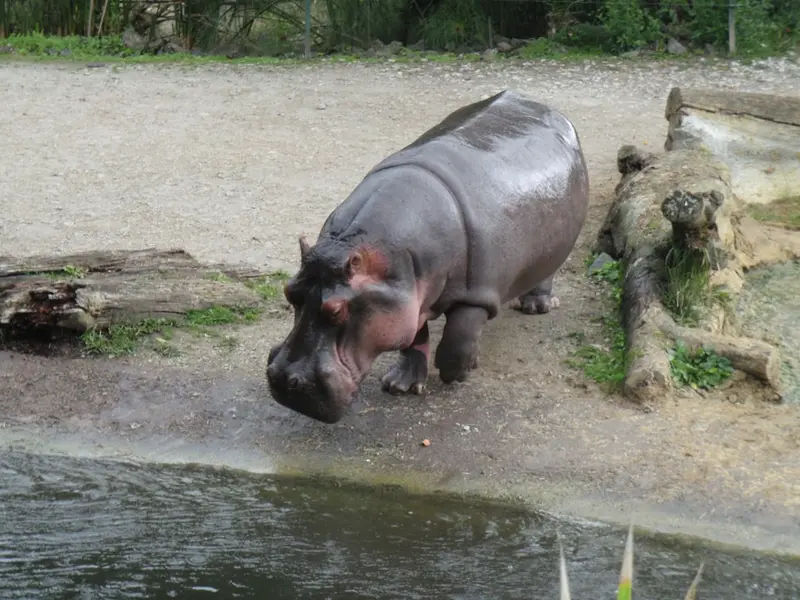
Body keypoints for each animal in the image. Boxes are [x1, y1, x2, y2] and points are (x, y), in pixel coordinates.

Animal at [267, 90, 590, 423]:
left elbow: (458, 338)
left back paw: (536, 307)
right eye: (289, 292)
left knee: (546, 273)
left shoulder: (475, 294)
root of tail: (535, 101)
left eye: (337, 310)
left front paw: (458, 373)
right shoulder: (407, 299)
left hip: (556, 246)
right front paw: (400, 386)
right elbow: (414, 339)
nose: (284, 380)